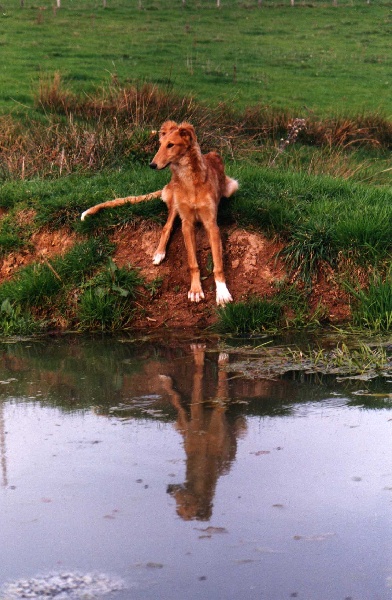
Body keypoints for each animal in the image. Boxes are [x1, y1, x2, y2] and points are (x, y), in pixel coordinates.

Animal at [81, 119, 237, 304]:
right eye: (160, 144)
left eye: (171, 145)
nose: (152, 165)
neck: (188, 179)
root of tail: (169, 184)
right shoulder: (187, 223)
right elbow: (192, 262)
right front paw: (195, 289)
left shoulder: (211, 224)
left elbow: (218, 263)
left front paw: (222, 291)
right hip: (175, 204)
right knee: (166, 227)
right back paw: (159, 253)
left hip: (231, 186)